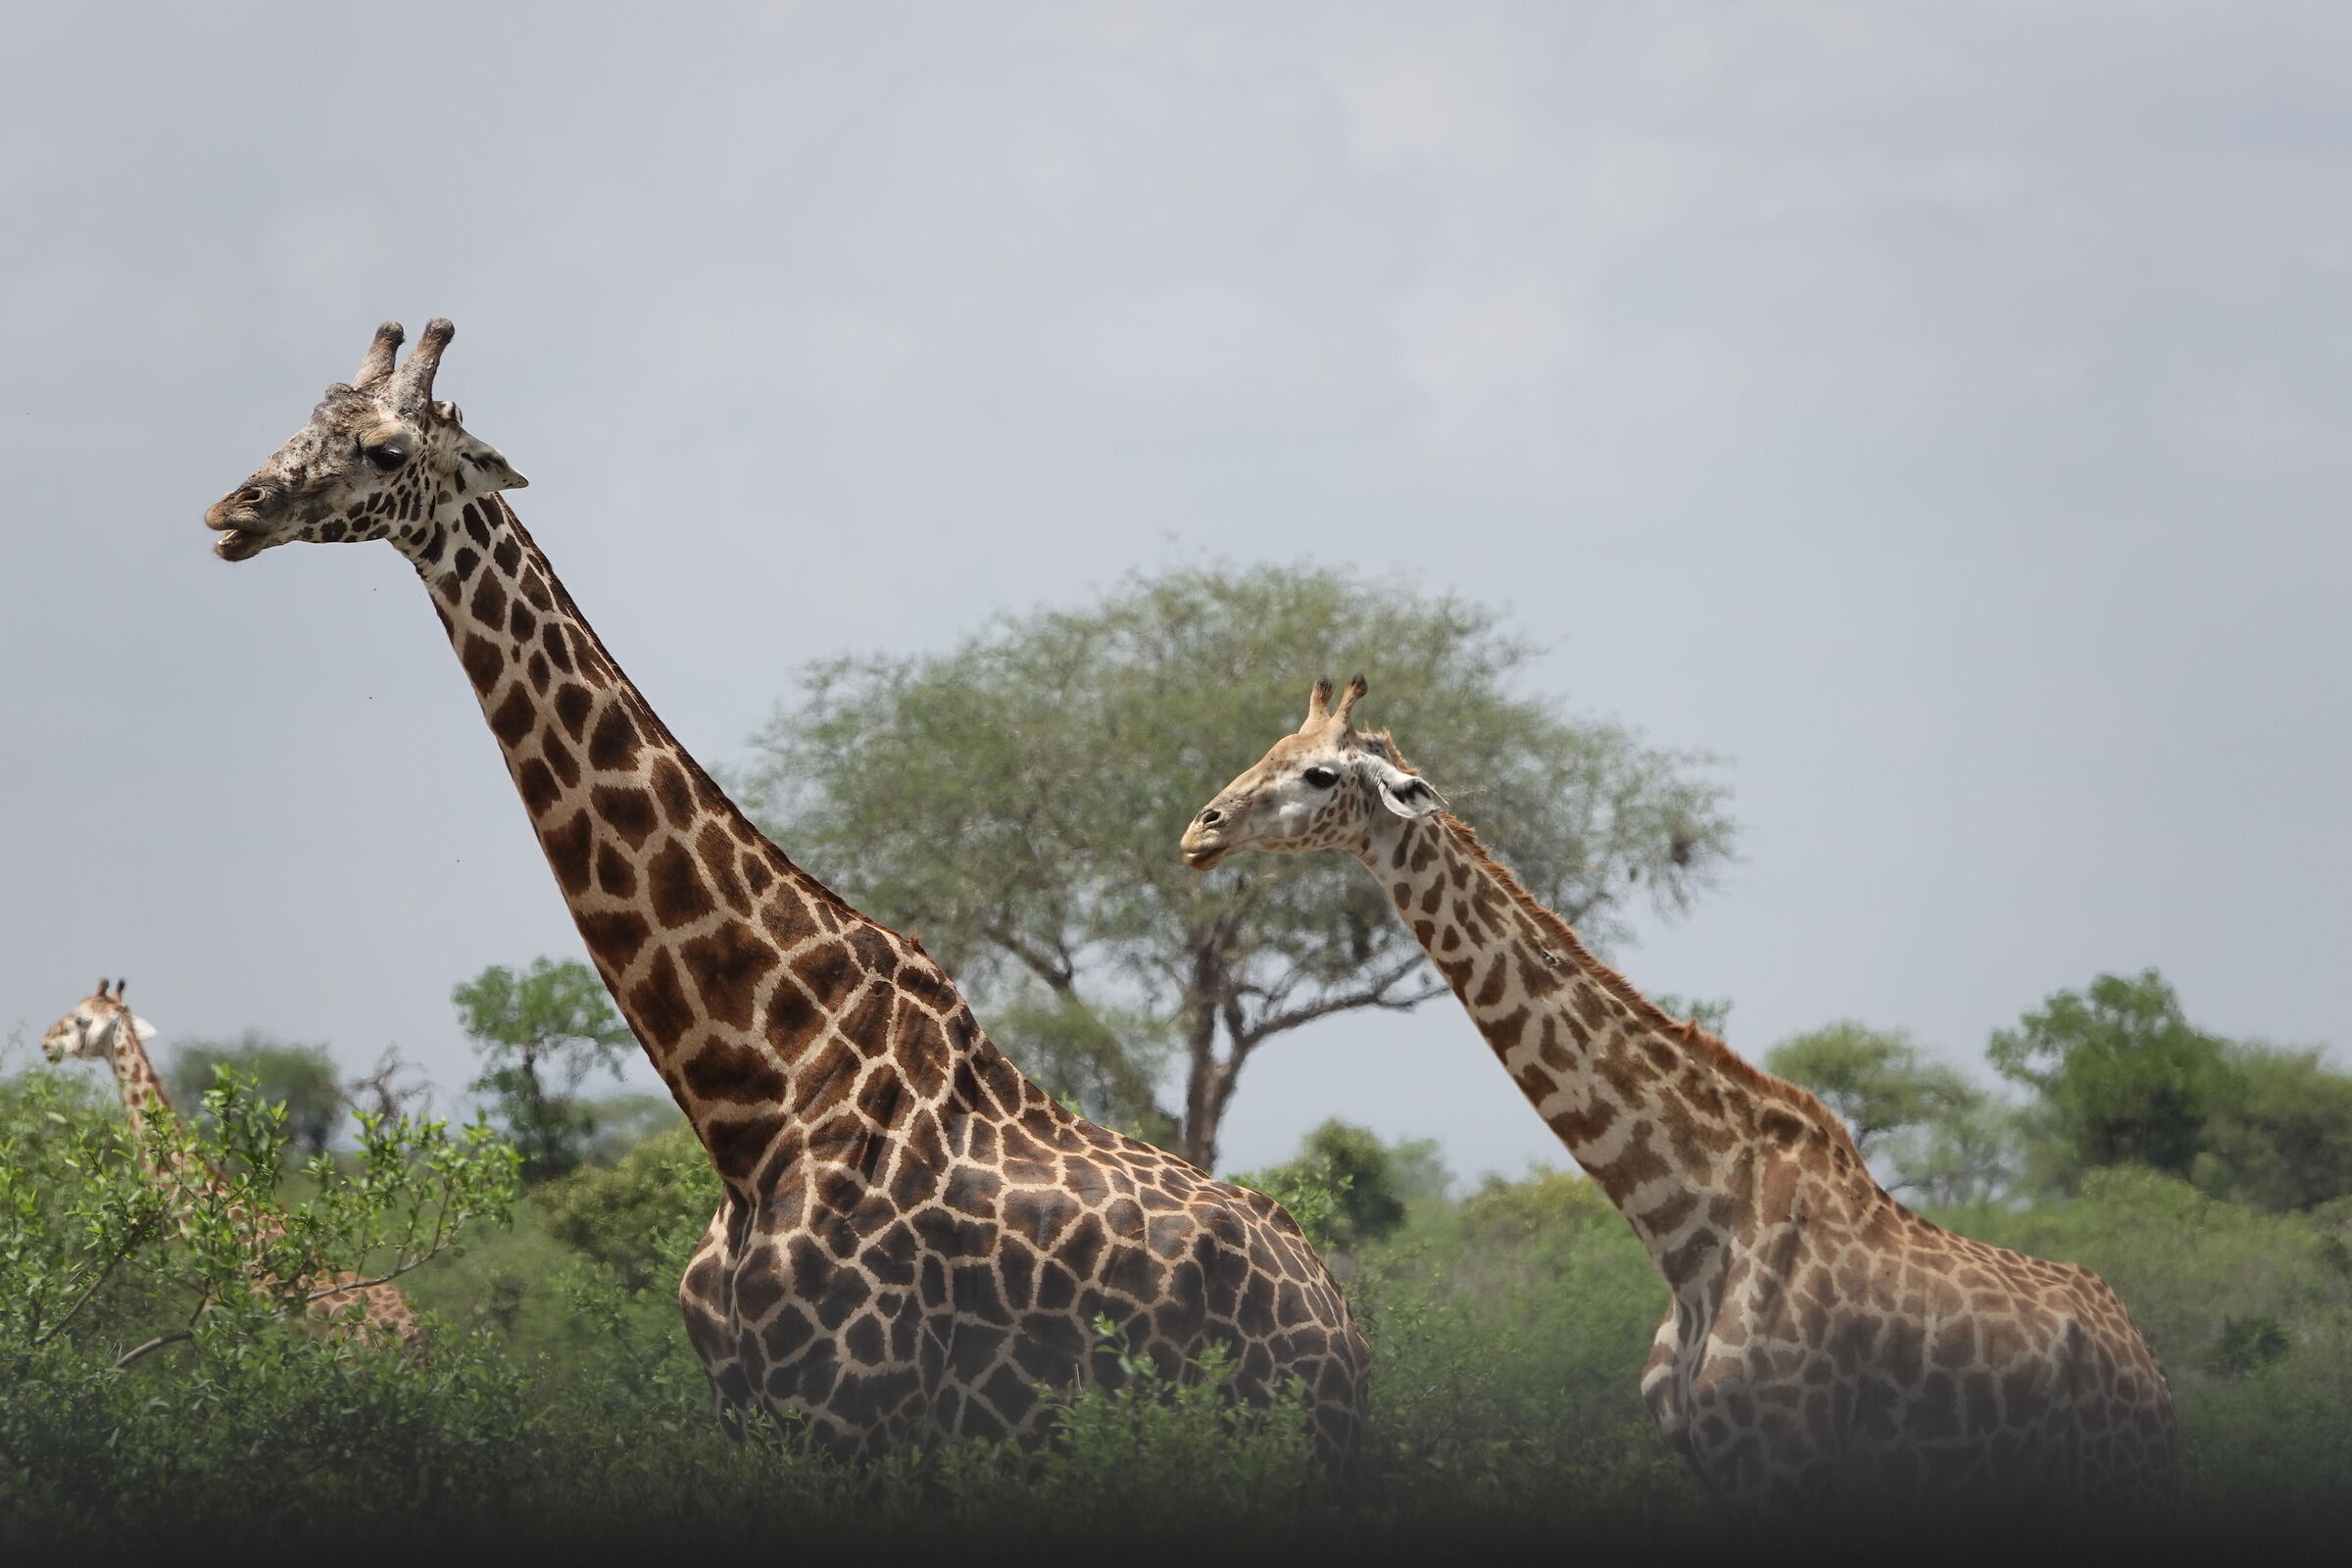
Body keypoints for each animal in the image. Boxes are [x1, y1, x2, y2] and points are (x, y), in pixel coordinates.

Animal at [198, 319, 1367, 1463]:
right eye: (310, 417)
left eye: (388, 450)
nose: (232, 510)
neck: (755, 1098)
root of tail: (1342, 1314)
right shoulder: (752, 1415)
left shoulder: (853, 1418)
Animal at [1180, 676, 2178, 1513]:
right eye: (1272, 745)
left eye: (1318, 773)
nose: (1202, 828)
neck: (1692, 1227)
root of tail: (2152, 1371)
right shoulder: (1715, 1472)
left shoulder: (1789, 1465)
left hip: (2114, 1480)